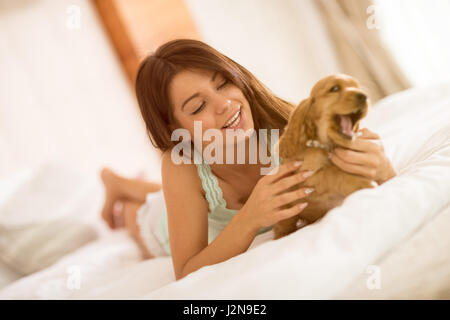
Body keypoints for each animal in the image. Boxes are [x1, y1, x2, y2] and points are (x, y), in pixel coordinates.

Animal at [274, 74, 376, 240]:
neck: (326, 146)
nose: (364, 96)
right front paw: (362, 182)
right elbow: (332, 172)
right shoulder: (306, 177)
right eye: (334, 88)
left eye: (356, 86)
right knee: (283, 227)